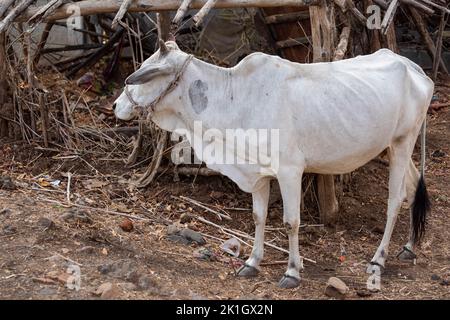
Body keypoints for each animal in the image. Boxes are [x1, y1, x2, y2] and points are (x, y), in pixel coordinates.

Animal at [114, 41, 434, 288]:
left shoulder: (290, 171)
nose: (117, 106)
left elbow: (291, 222)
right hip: (394, 146)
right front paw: (252, 262)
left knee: (395, 199)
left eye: (145, 75)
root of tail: (413, 66)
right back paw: (408, 247)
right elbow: (259, 217)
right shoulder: (258, 173)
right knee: (412, 187)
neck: (235, 99)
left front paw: (292, 271)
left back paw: (378, 259)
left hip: (403, 141)